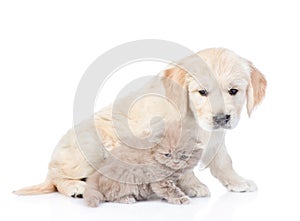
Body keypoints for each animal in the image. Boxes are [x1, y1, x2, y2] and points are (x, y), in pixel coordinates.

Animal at [14, 48, 268, 197]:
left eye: (234, 91)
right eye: (202, 92)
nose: (221, 118)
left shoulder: (214, 137)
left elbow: (224, 162)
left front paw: (237, 181)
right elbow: (180, 167)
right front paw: (193, 185)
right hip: (92, 147)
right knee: (57, 176)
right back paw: (76, 187)